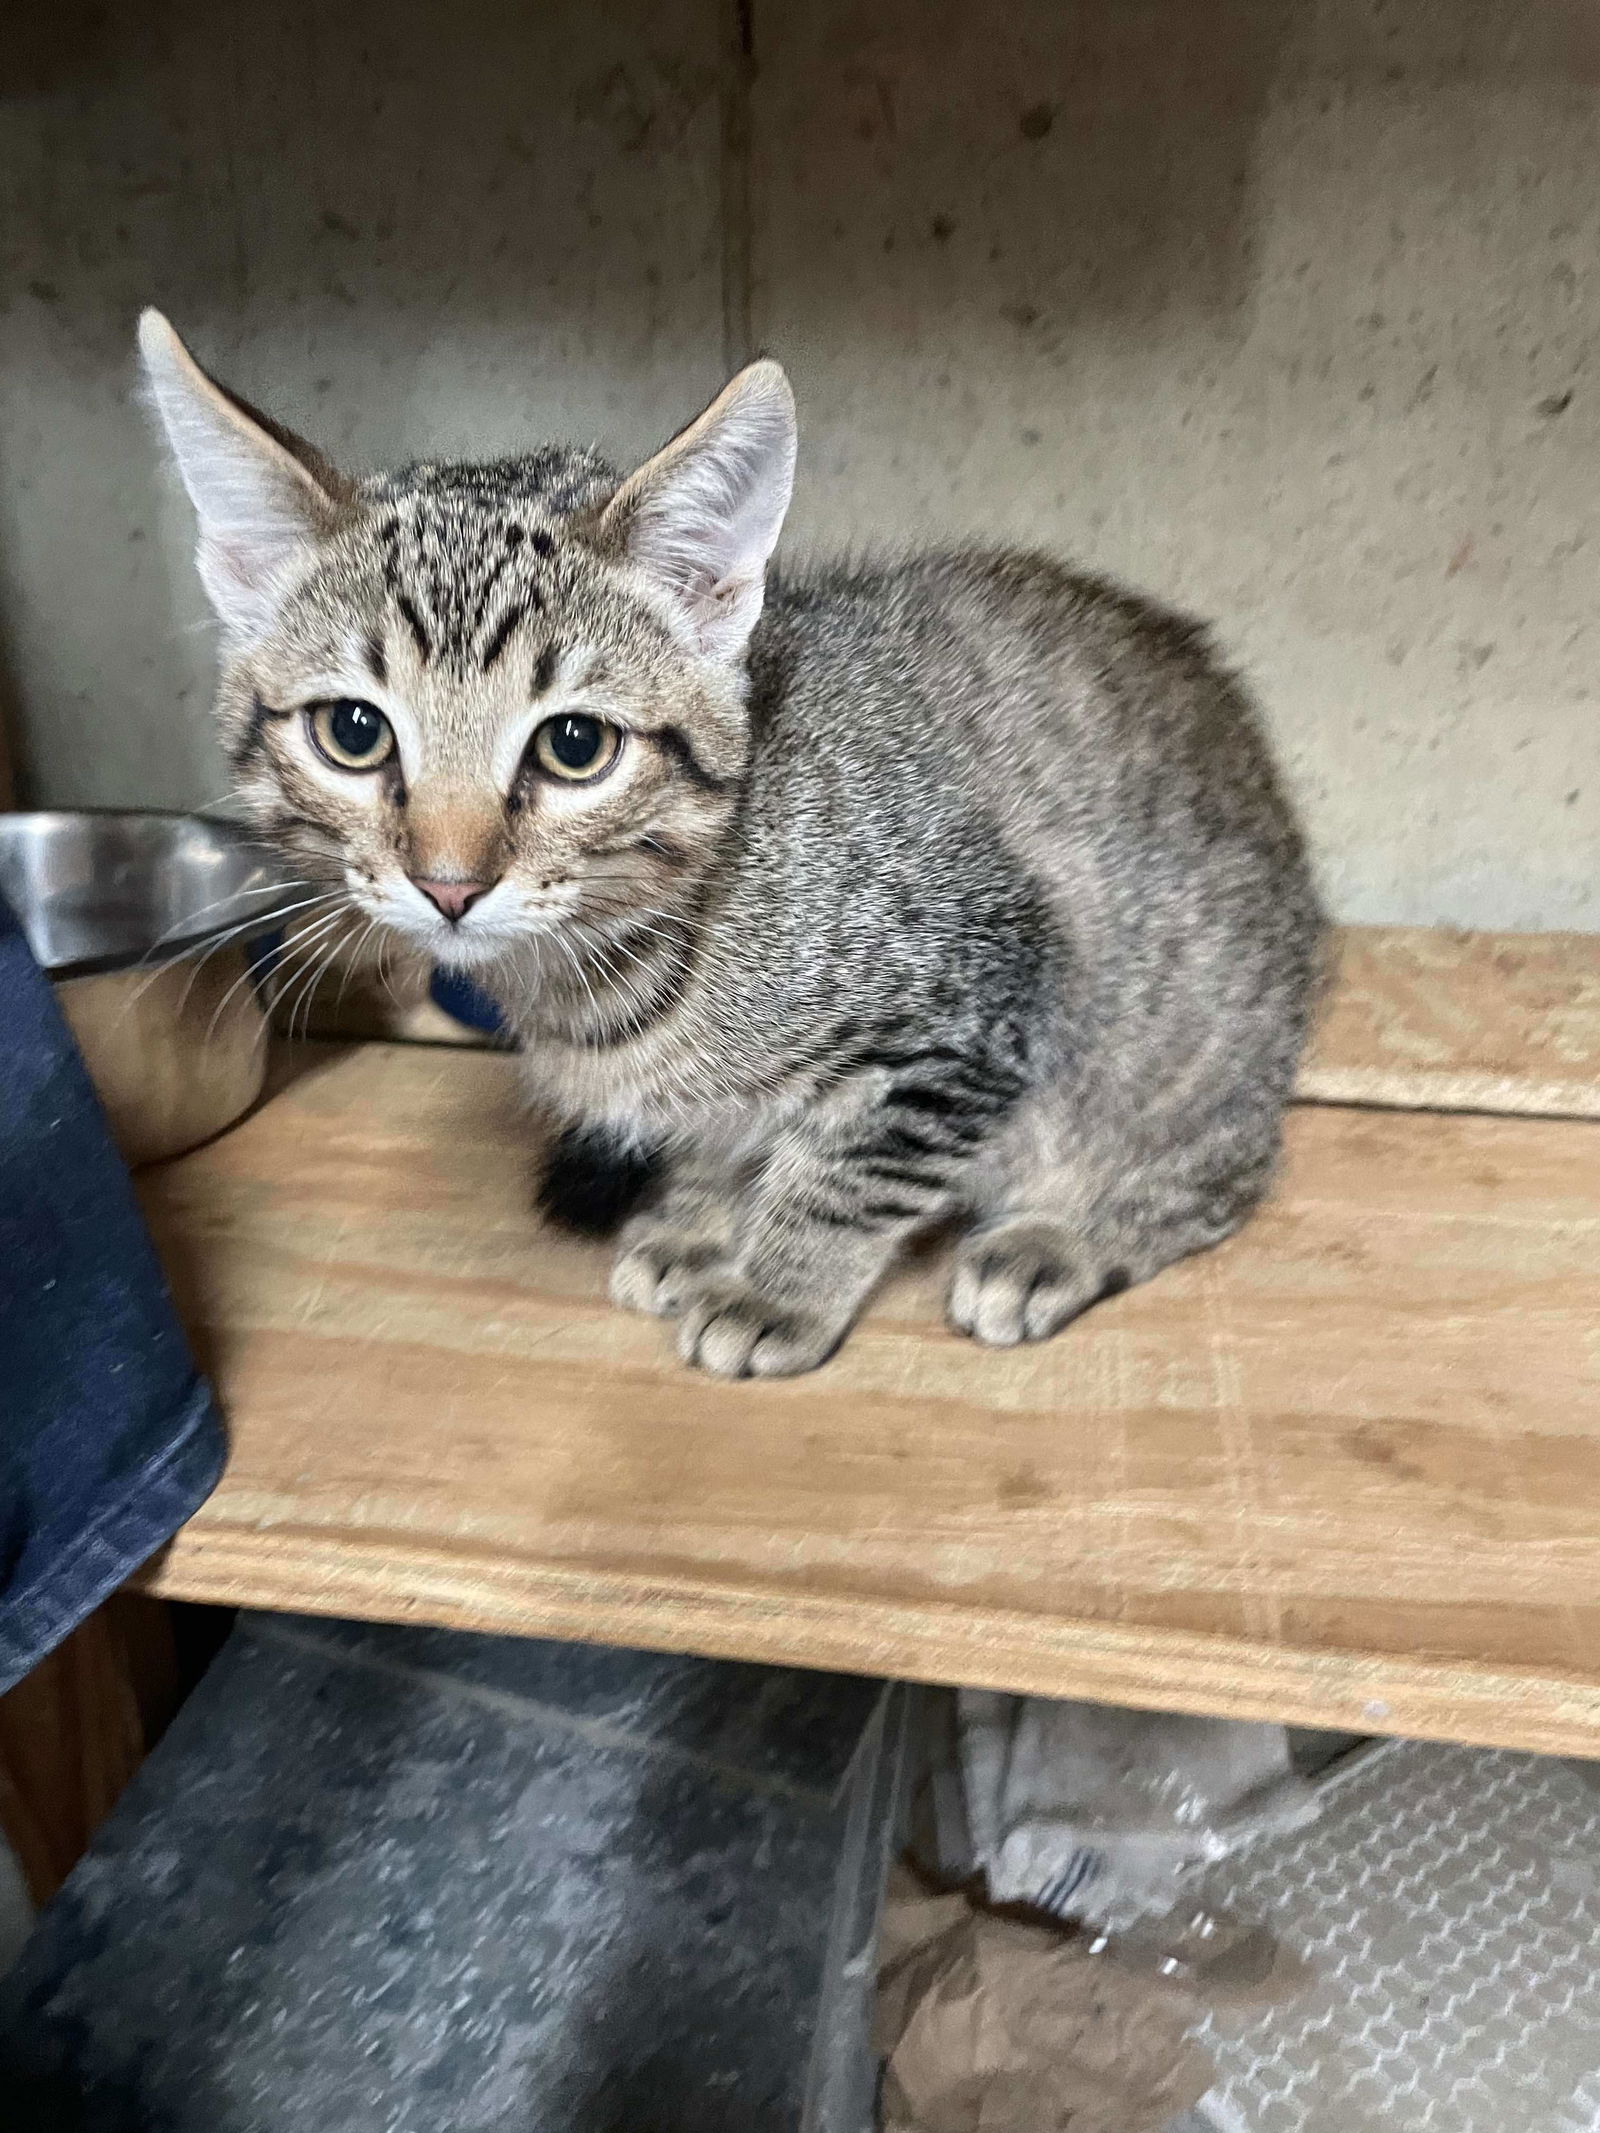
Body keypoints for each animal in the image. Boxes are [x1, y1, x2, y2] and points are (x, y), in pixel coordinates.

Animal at [140, 311, 1331, 1382]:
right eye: (353, 731)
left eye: (575, 746)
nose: (448, 882)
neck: (616, 964)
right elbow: (716, 1136)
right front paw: (701, 1219)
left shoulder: (980, 996)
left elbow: (850, 1171)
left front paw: (775, 1285)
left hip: (1177, 1044)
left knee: (1213, 1175)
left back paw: (1060, 1240)